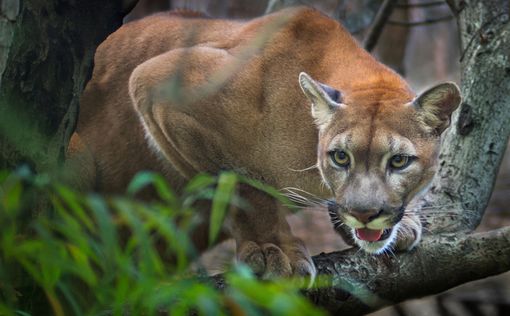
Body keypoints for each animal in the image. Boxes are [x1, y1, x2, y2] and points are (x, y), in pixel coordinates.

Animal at [72, 6, 462, 284]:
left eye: (398, 161)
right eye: (340, 157)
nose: (366, 213)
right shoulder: (158, 83)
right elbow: (241, 184)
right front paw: (273, 249)